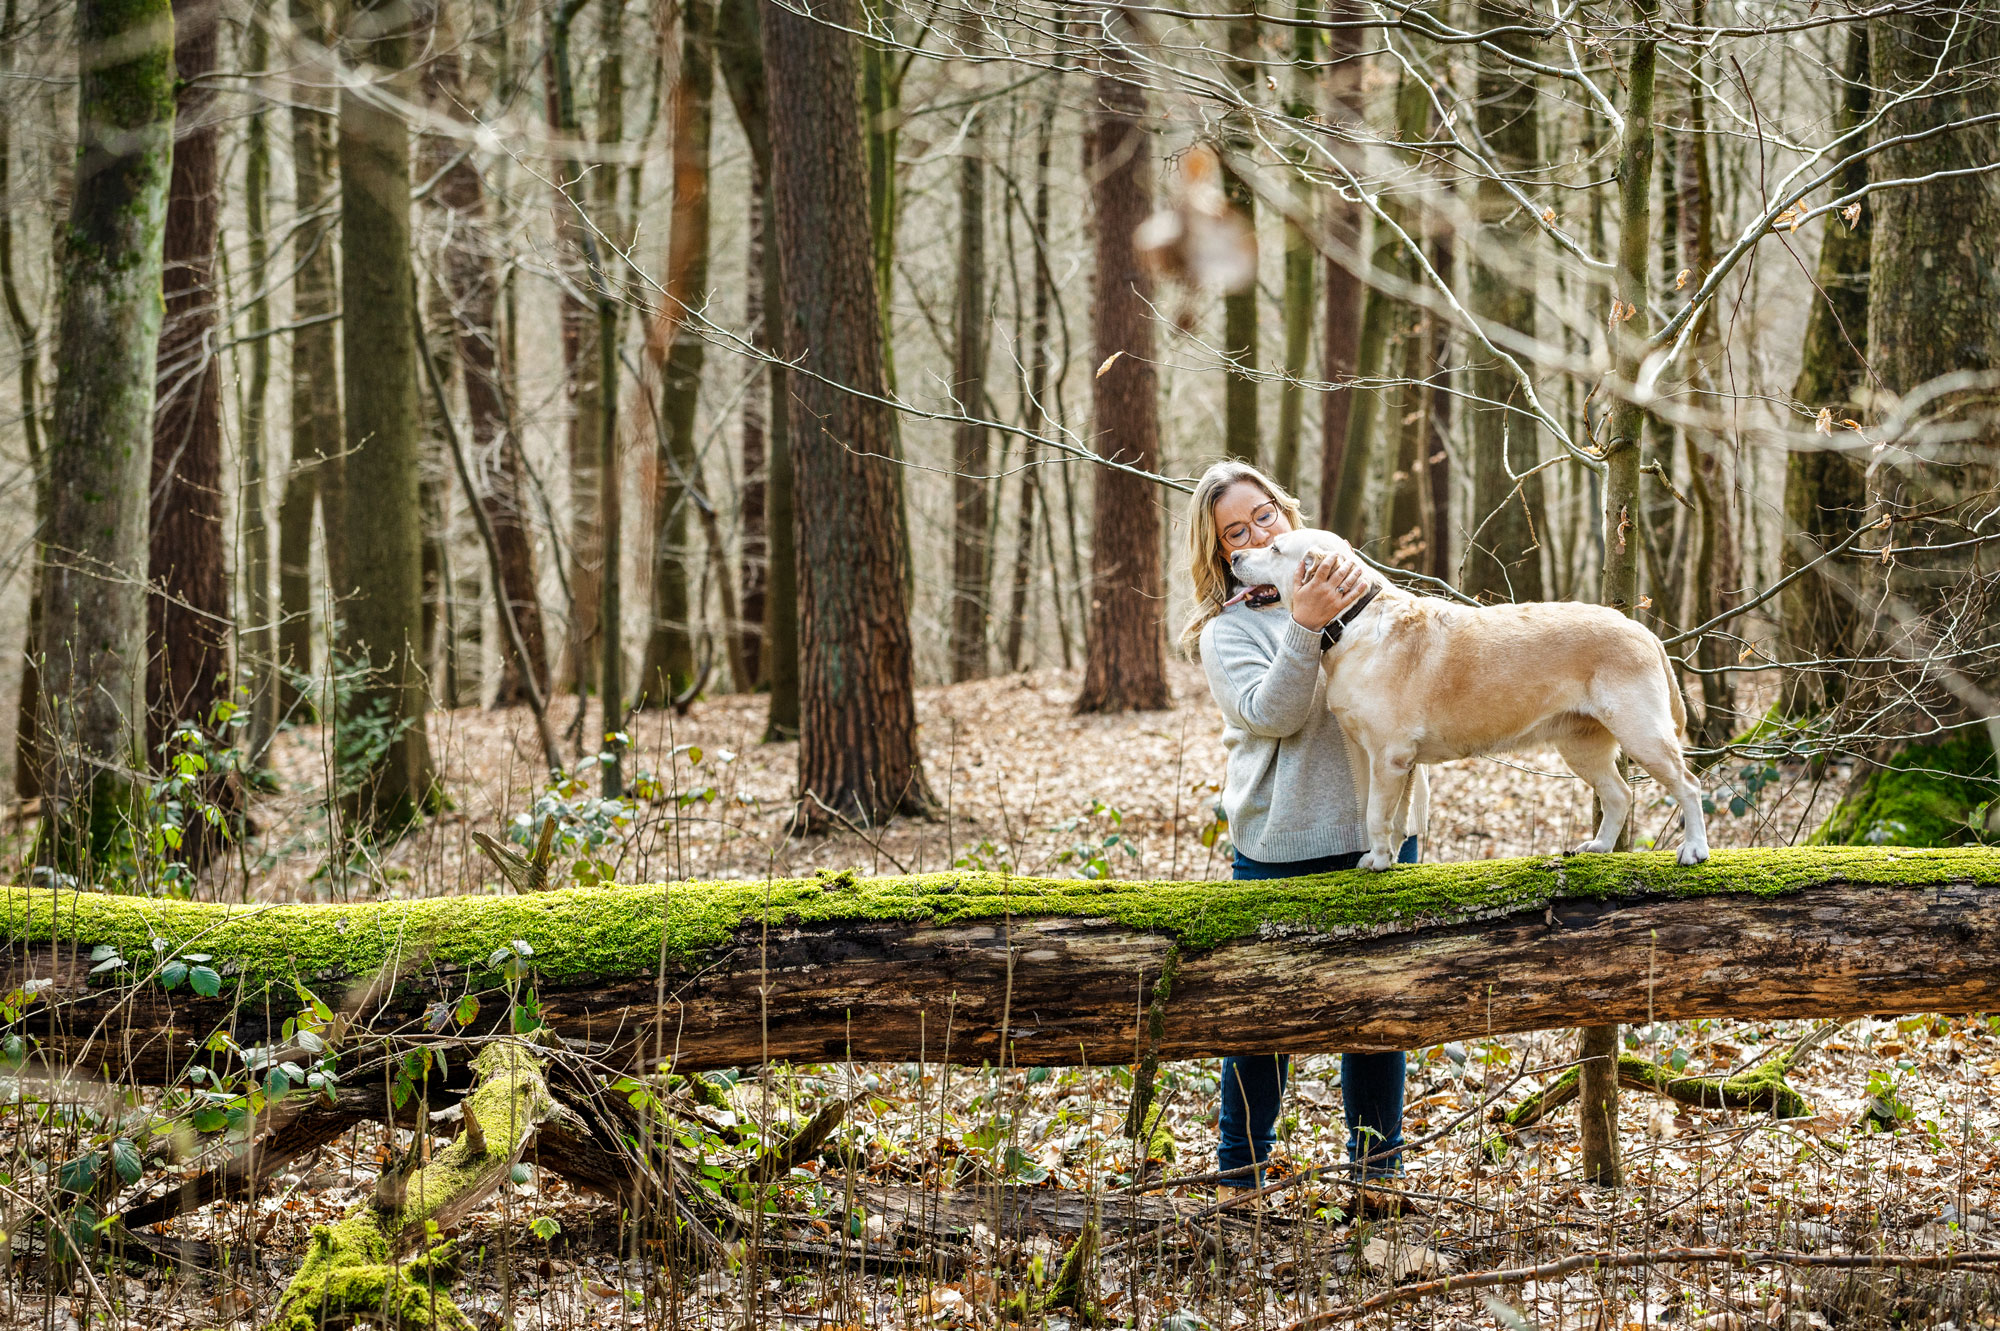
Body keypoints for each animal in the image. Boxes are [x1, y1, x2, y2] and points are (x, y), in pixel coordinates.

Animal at [1224, 527, 1712, 871]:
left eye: (1274, 548)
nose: (1234, 557)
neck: (1354, 619)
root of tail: (1642, 630)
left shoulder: (1388, 755)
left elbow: (1376, 814)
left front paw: (1376, 860)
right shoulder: (1398, 761)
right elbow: (1396, 817)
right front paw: (1388, 860)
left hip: (1641, 731)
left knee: (1688, 786)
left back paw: (1694, 849)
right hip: (1580, 744)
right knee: (1618, 795)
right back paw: (1601, 847)